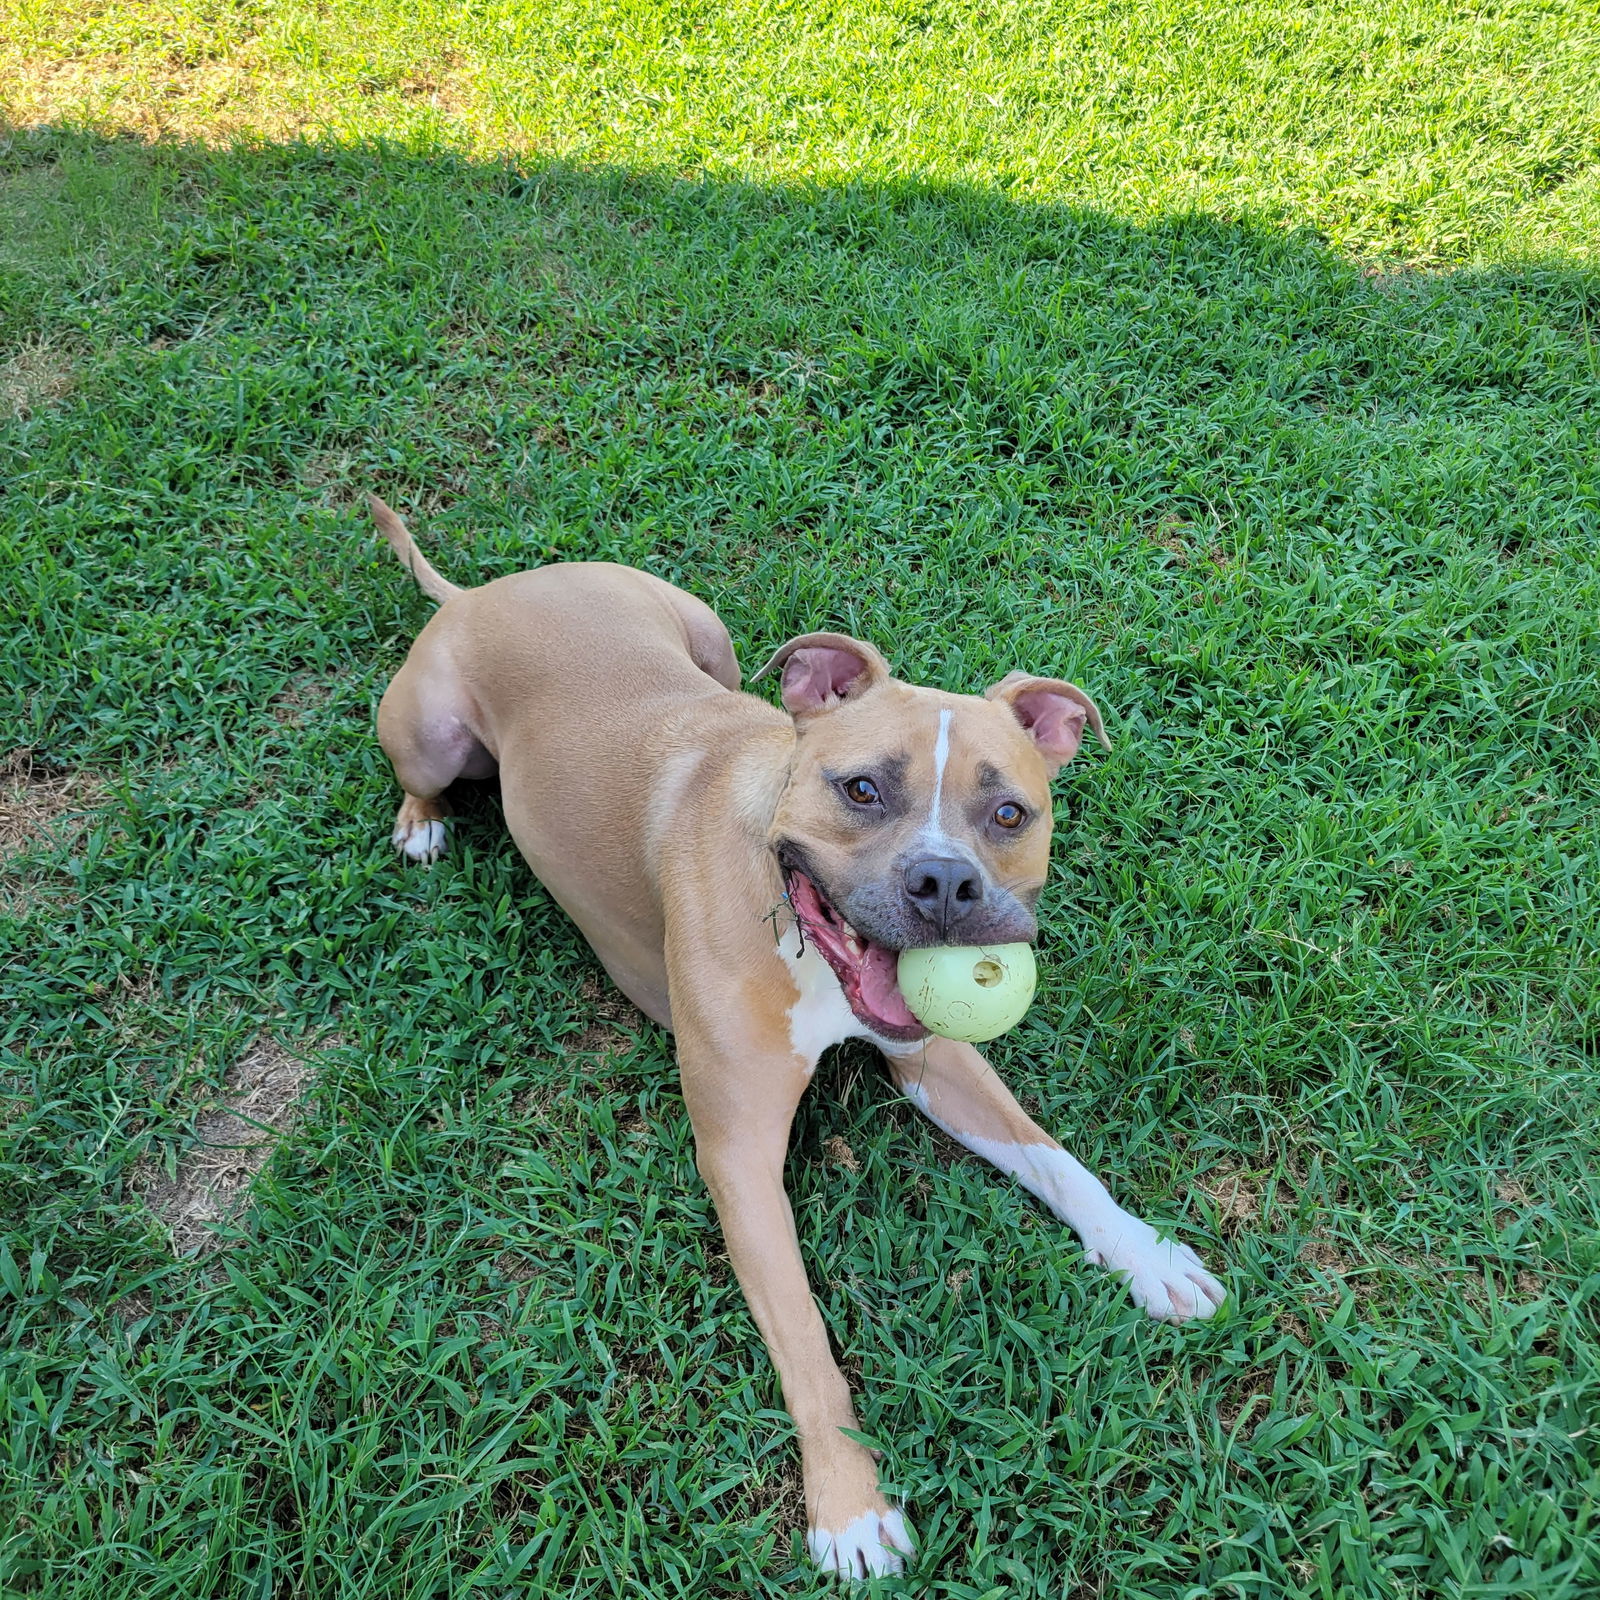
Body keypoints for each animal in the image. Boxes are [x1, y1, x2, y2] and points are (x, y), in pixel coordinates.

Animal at [371, 496, 1222, 1574]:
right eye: (860, 789)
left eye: (1008, 813)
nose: (945, 885)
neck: (798, 923)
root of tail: (482, 591)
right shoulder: (736, 1154)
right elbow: (809, 1344)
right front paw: (850, 1506)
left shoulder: (934, 1060)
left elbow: (1056, 1159)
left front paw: (1147, 1253)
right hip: (430, 732)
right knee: (423, 775)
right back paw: (421, 825)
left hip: (708, 638)